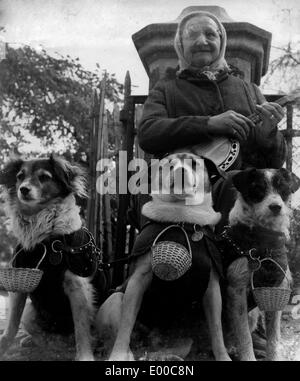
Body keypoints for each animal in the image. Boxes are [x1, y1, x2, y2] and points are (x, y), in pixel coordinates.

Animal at [0, 154, 109, 360]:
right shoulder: (20, 280)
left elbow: (81, 330)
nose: (23, 189)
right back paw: (30, 340)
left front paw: (85, 356)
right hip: (30, 312)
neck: (45, 238)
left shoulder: (78, 286)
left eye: (44, 177)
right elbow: (11, 324)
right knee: (40, 334)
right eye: (20, 176)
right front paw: (4, 345)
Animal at [96, 152, 232, 360]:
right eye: (167, 165)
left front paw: (223, 356)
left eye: (194, 163)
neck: (183, 219)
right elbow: (126, 325)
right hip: (115, 299)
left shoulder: (212, 288)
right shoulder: (137, 281)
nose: (181, 171)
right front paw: (118, 355)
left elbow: (217, 332)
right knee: (118, 333)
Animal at [224, 168, 300, 360]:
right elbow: (244, 335)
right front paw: (248, 356)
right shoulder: (236, 290)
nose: (276, 207)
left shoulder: (276, 288)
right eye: (257, 188)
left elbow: (273, 336)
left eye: (283, 188)